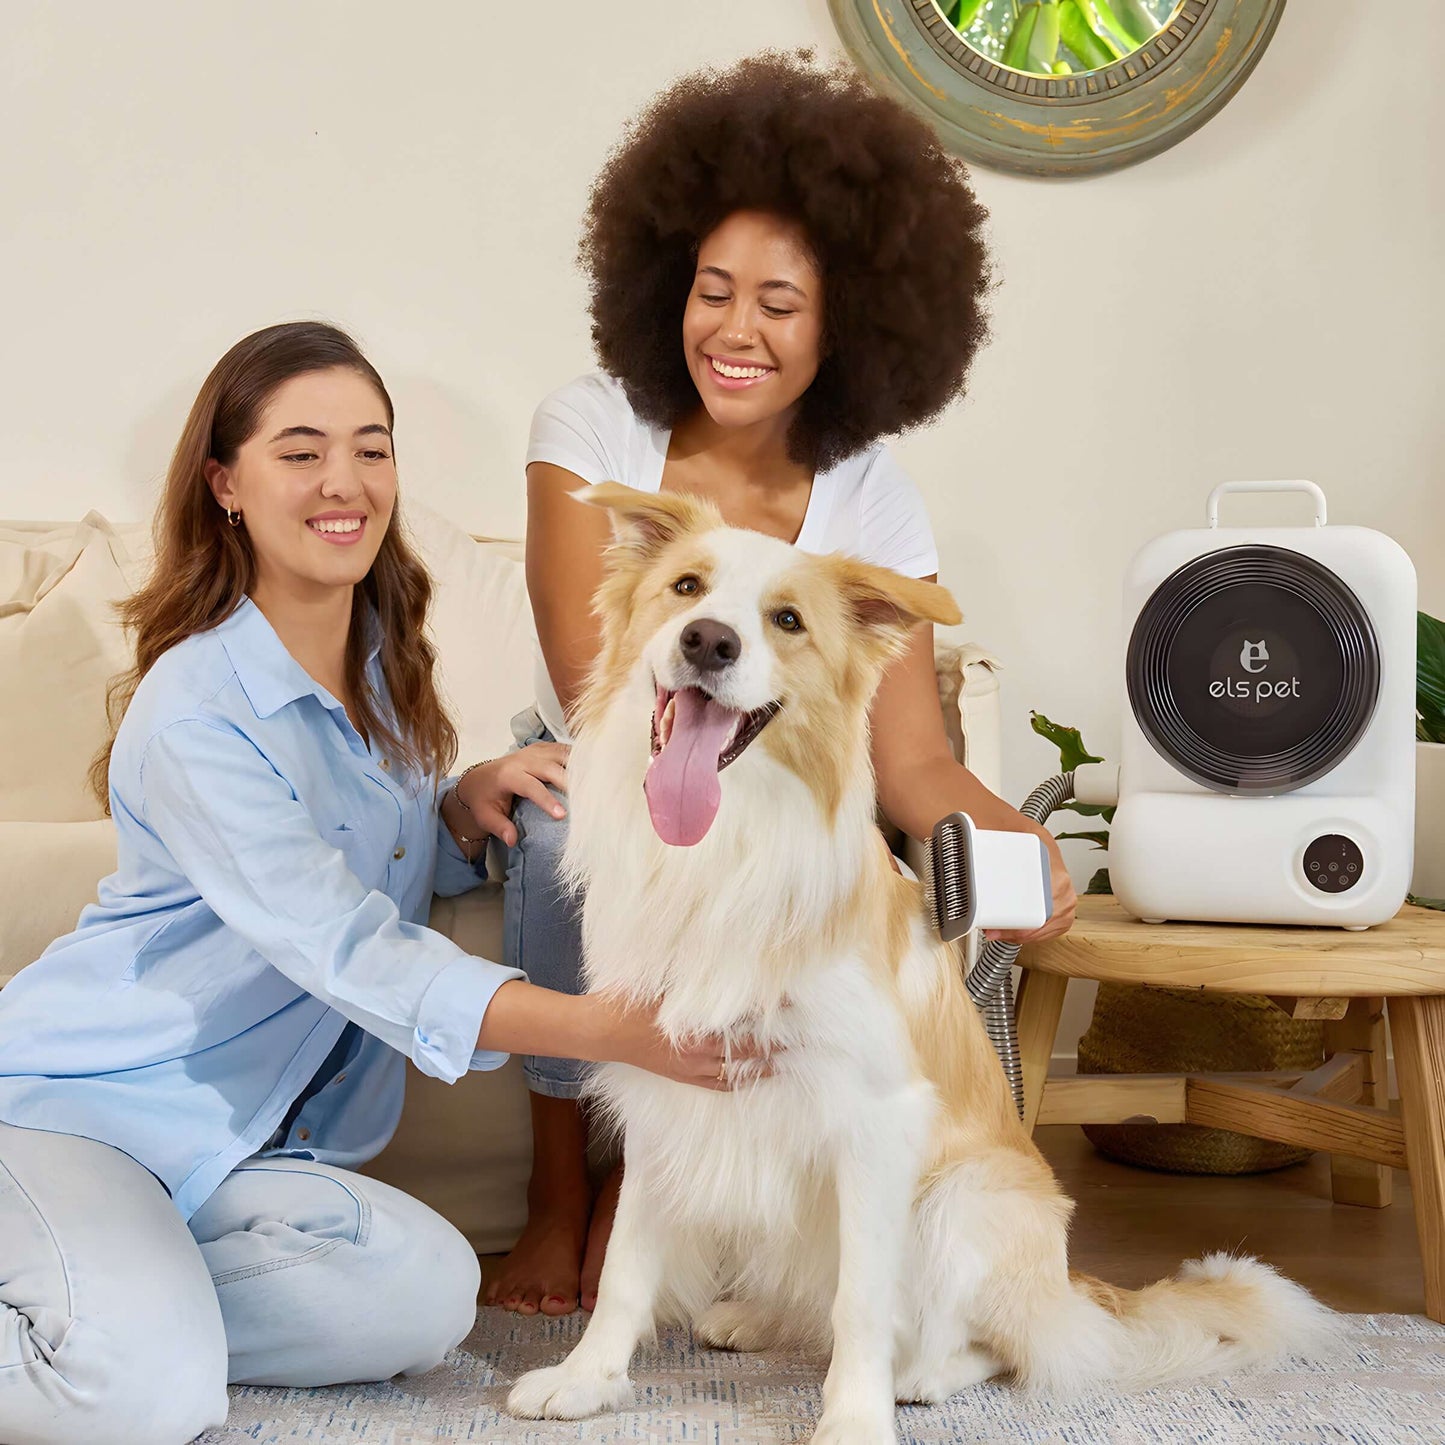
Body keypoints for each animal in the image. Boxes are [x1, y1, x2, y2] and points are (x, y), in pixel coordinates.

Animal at [508, 488, 1329, 1445]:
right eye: (686, 587)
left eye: (787, 620)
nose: (708, 641)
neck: (729, 843)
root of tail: (1067, 1284)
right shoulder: (663, 1083)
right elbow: (626, 1263)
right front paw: (586, 1379)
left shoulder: (875, 1119)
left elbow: (861, 1300)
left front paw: (854, 1417)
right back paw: (750, 1317)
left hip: (964, 1197)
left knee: (1000, 1342)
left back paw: (922, 1374)